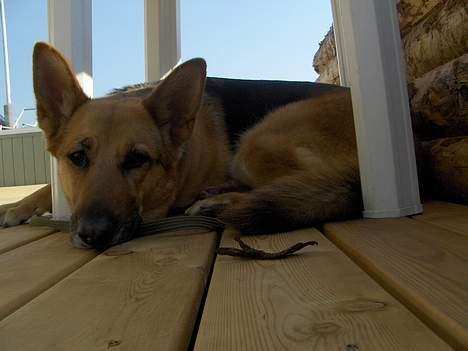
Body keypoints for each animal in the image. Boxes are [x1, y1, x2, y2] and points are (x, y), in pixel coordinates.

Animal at [0, 42, 360, 250]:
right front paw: (17, 207)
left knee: (305, 182)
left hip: (257, 141)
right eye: (77, 157)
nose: (94, 235)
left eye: (137, 159)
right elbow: (48, 187)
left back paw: (218, 202)